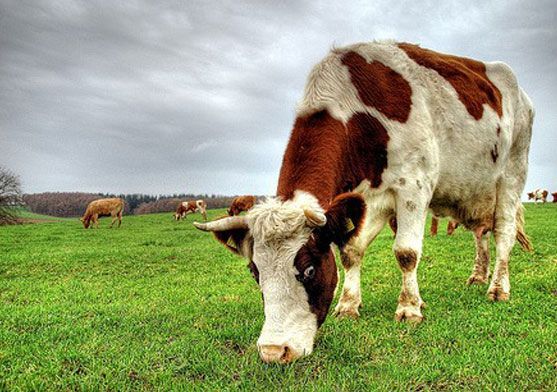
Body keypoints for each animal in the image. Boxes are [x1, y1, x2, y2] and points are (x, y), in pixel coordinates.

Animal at [193, 41, 532, 362]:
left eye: (309, 270)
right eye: (255, 272)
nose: (275, 351)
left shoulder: (414, 186)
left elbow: (406, 253)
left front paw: (410, 308)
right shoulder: (368, 199)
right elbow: (350, 251)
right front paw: (348, 304)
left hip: (512, 174)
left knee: (503, 232)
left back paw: (498, 288)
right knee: (481, 234)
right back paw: (477, 276)